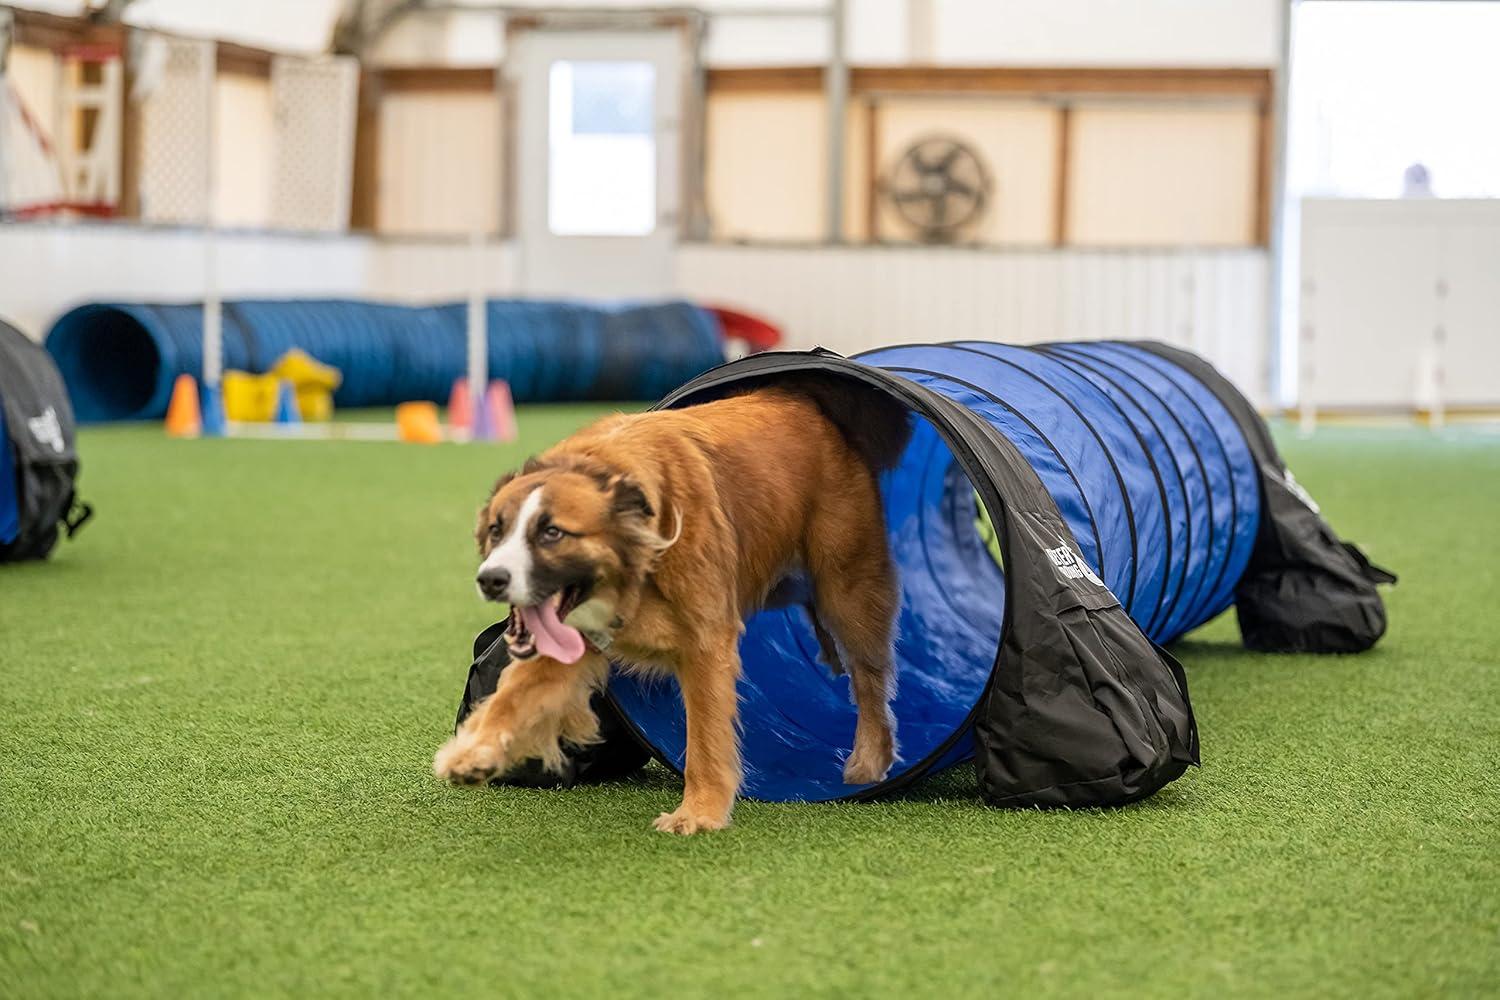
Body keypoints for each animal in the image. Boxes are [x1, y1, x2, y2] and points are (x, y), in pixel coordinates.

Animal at [429, 374, 906, 827]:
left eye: (552, 533)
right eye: (497, 530)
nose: (491, 580)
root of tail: (810, 402)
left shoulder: (707, 643)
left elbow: (705, 738)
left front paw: (699, 813)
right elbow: (511, 695)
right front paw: (471, 753)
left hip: (847, 590)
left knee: (869, 676)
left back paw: (869, 760)